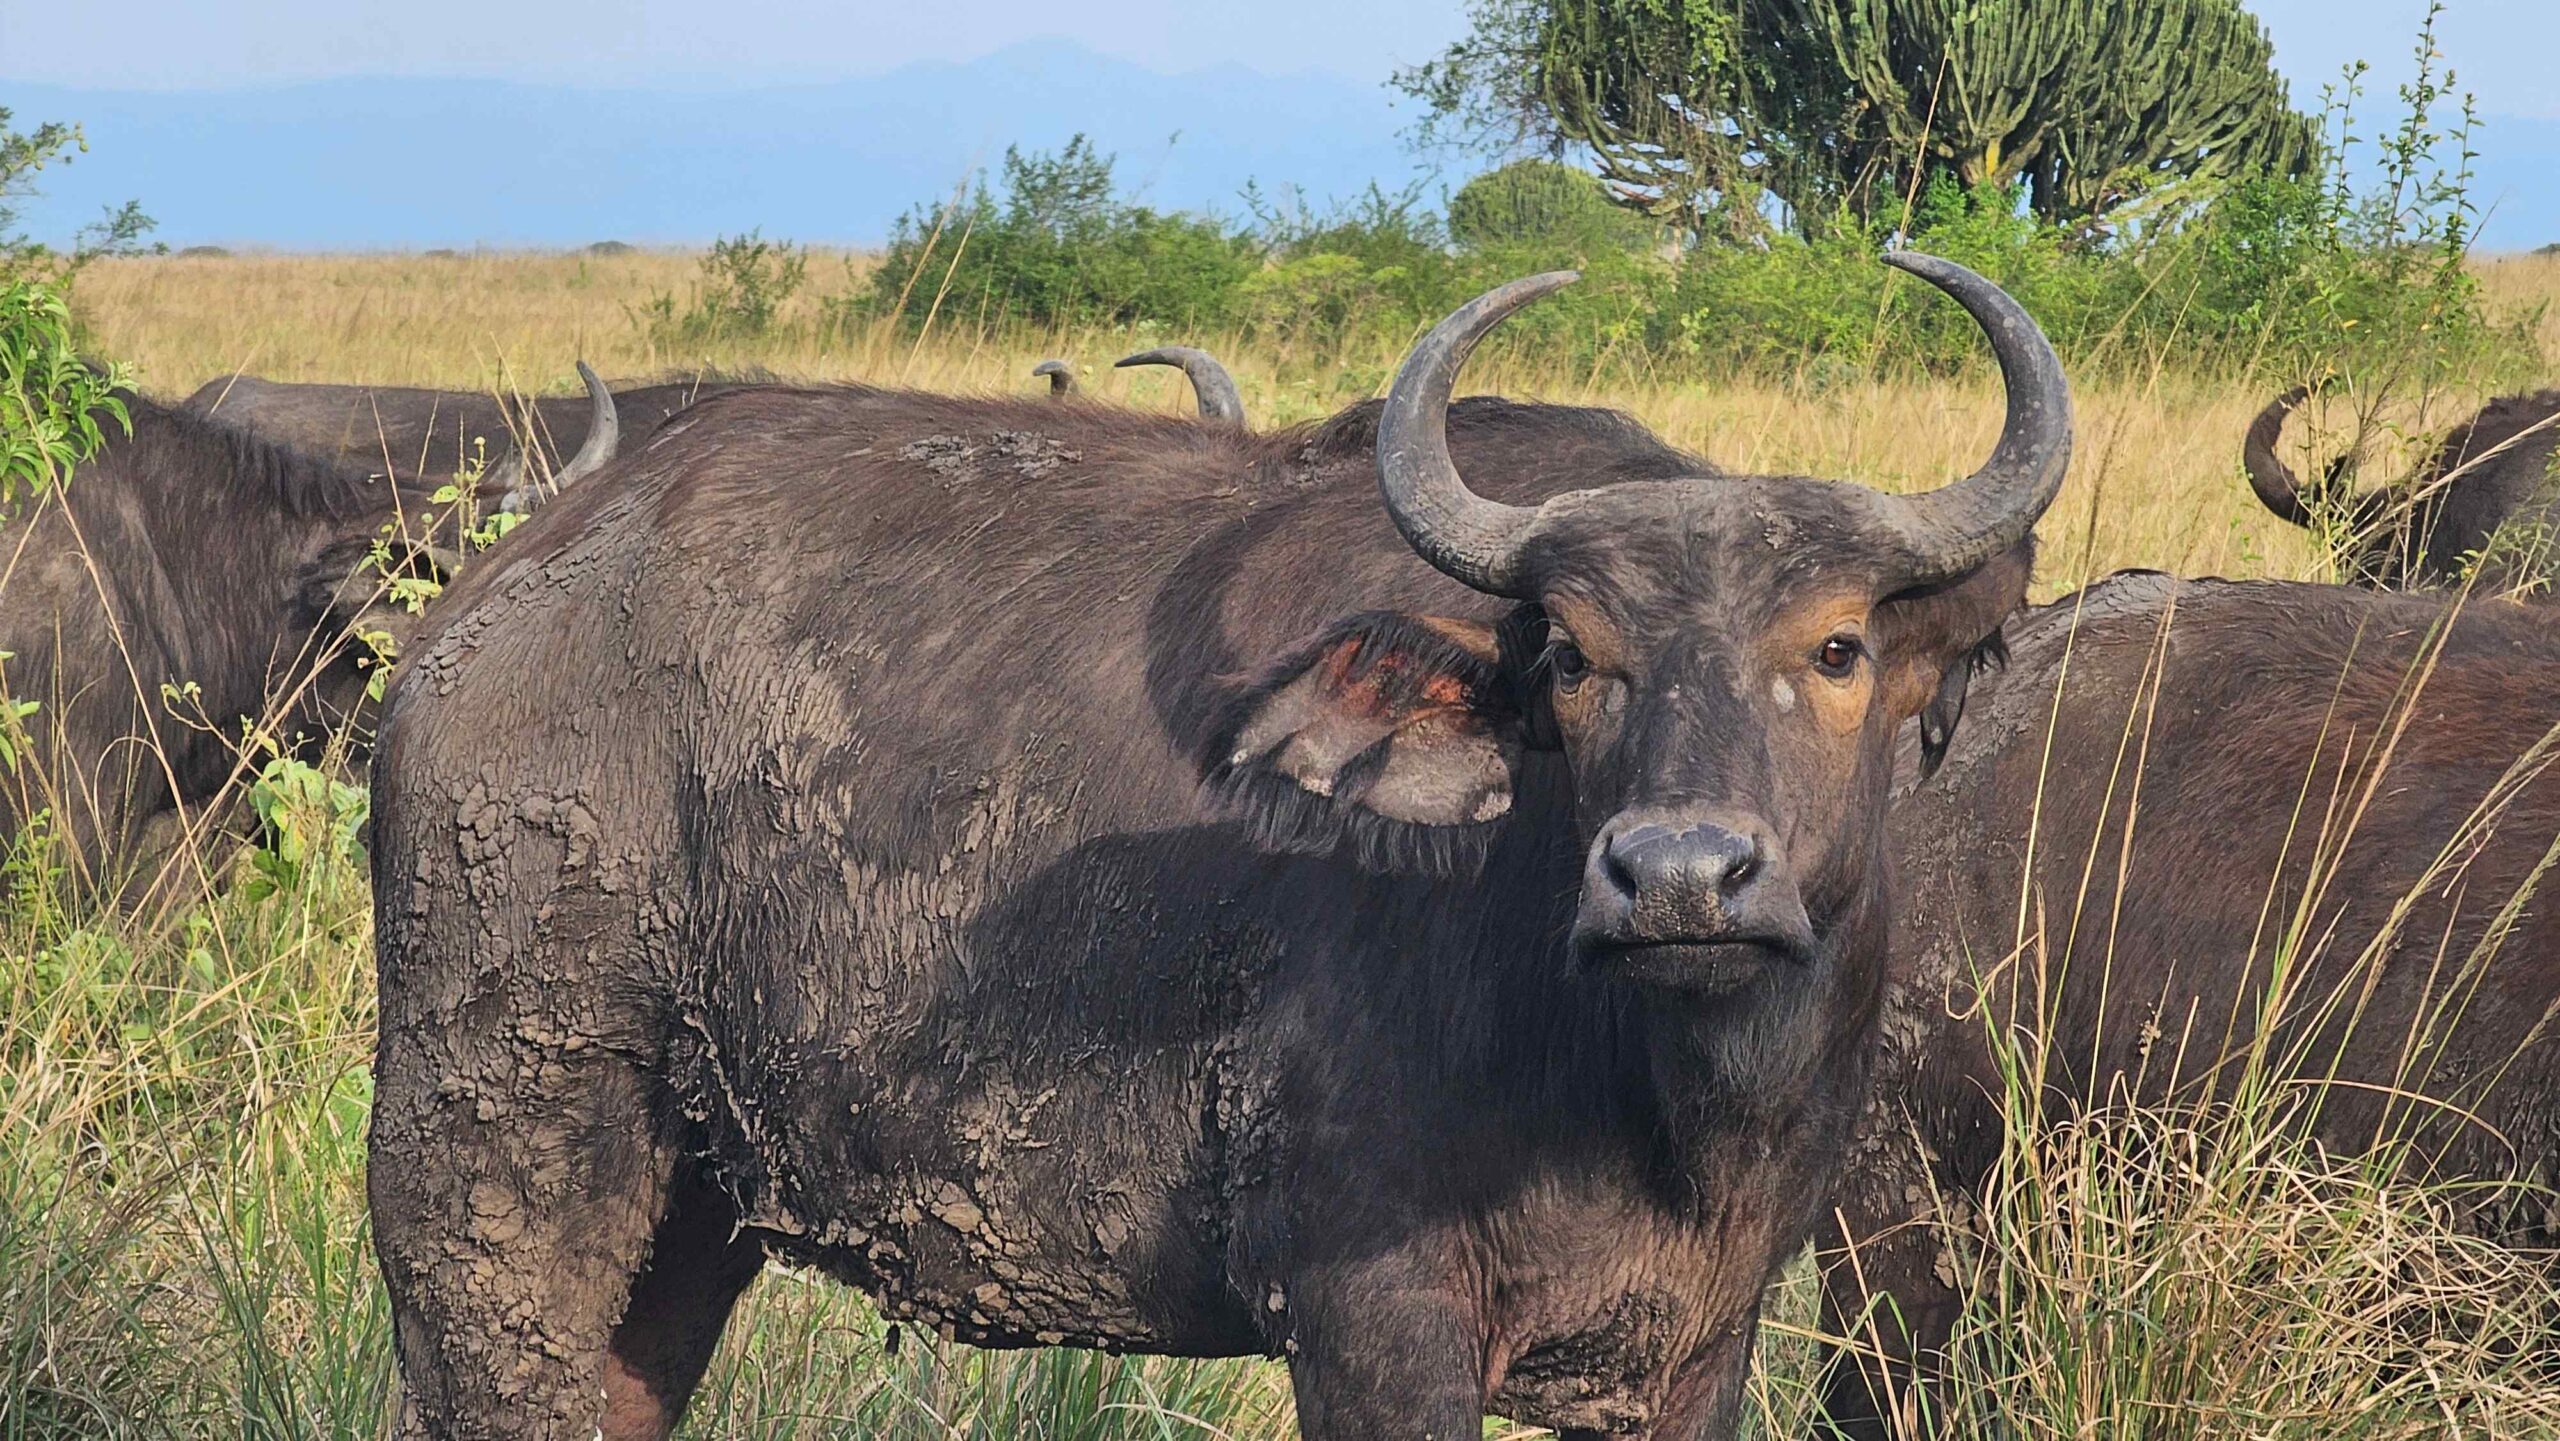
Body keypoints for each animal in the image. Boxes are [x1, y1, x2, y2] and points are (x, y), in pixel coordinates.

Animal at [364, 252, 2072, 1441]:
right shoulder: (1372, 1323)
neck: (1646, 1091)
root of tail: (489, 612)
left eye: (1840, 646)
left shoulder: (1693, 1348)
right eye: (1576, 657)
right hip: (488, 1161)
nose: (1679, 877)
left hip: (688, 1209)